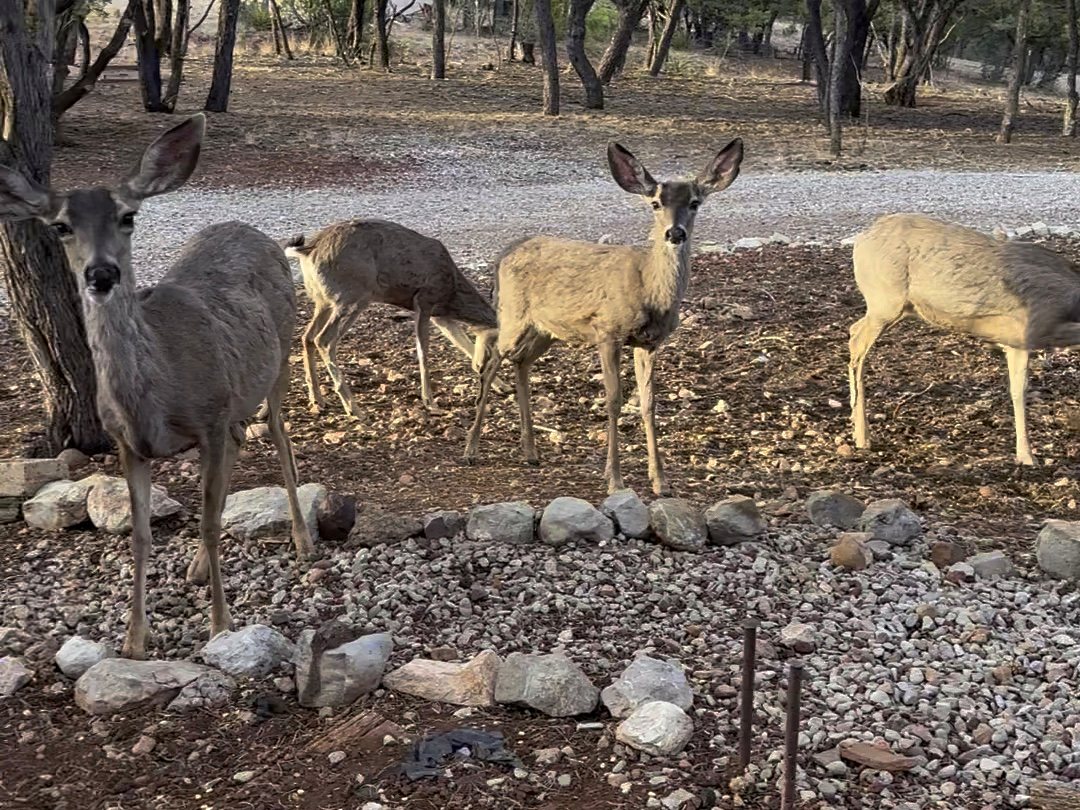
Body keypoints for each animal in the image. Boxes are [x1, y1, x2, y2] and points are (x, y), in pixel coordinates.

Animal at [0, 115, 314, 659]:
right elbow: (141, 535)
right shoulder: (129, 443)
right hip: (235, 396)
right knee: (241, 441)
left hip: (279, 357)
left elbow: (207, 520)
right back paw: (196, 567)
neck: (156, 397)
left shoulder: (209, 418)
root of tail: (251, 230)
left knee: (279, 435)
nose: (101, 273)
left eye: (128, 216)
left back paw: (301, 540)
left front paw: (220, 626)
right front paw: (133, 640)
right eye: (60, 226)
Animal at [284, 219, 502, 416]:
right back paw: (353, 409)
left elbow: (463, 344)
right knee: (324, 339)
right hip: (352, 296)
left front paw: (502, 386)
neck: (452, 291)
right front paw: (430, 402)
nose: (483, 367)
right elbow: (423, 352)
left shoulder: (440, 315)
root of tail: (309, 250)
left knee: (307, 337)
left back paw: (318, 399)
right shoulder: (424, 300)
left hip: (323, 301)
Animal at [462, 139, 744, 496]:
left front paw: (661, 481)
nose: (675, 233)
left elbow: (649, 403)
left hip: (546, 330)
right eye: (655, 203)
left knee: (521, 362)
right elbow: (613, 399)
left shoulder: (649, 342)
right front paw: (614, 479)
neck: (648, 287)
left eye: (694, 202)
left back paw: (531, 453)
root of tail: (503, 254)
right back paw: (471, 450)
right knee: (491, 363)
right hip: (513, 314)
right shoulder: (607, 331)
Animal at [849, 213, 1080, 465]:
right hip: (885, 301)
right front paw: (1027, 456)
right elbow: (1020, 391)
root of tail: (862, 239)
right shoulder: (1023, 332)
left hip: (897, 307)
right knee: (857, 343)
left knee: (853, 329)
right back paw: (862, 436)